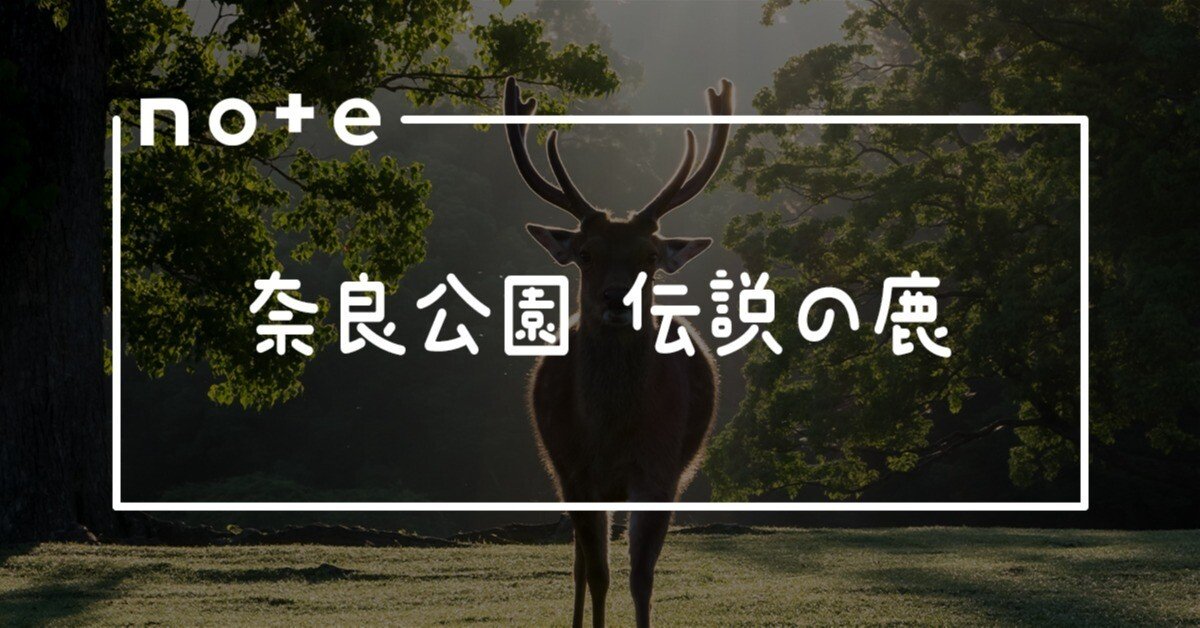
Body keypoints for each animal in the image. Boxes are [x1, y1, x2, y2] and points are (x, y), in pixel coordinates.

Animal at [503, 76, 733, 628]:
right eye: (586, 255)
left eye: (649, 257)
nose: (615, 299)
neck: (610, 433)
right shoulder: (573, 471)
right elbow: (600, 575)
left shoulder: (660, 470)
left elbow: (640, 578)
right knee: (580, 566)